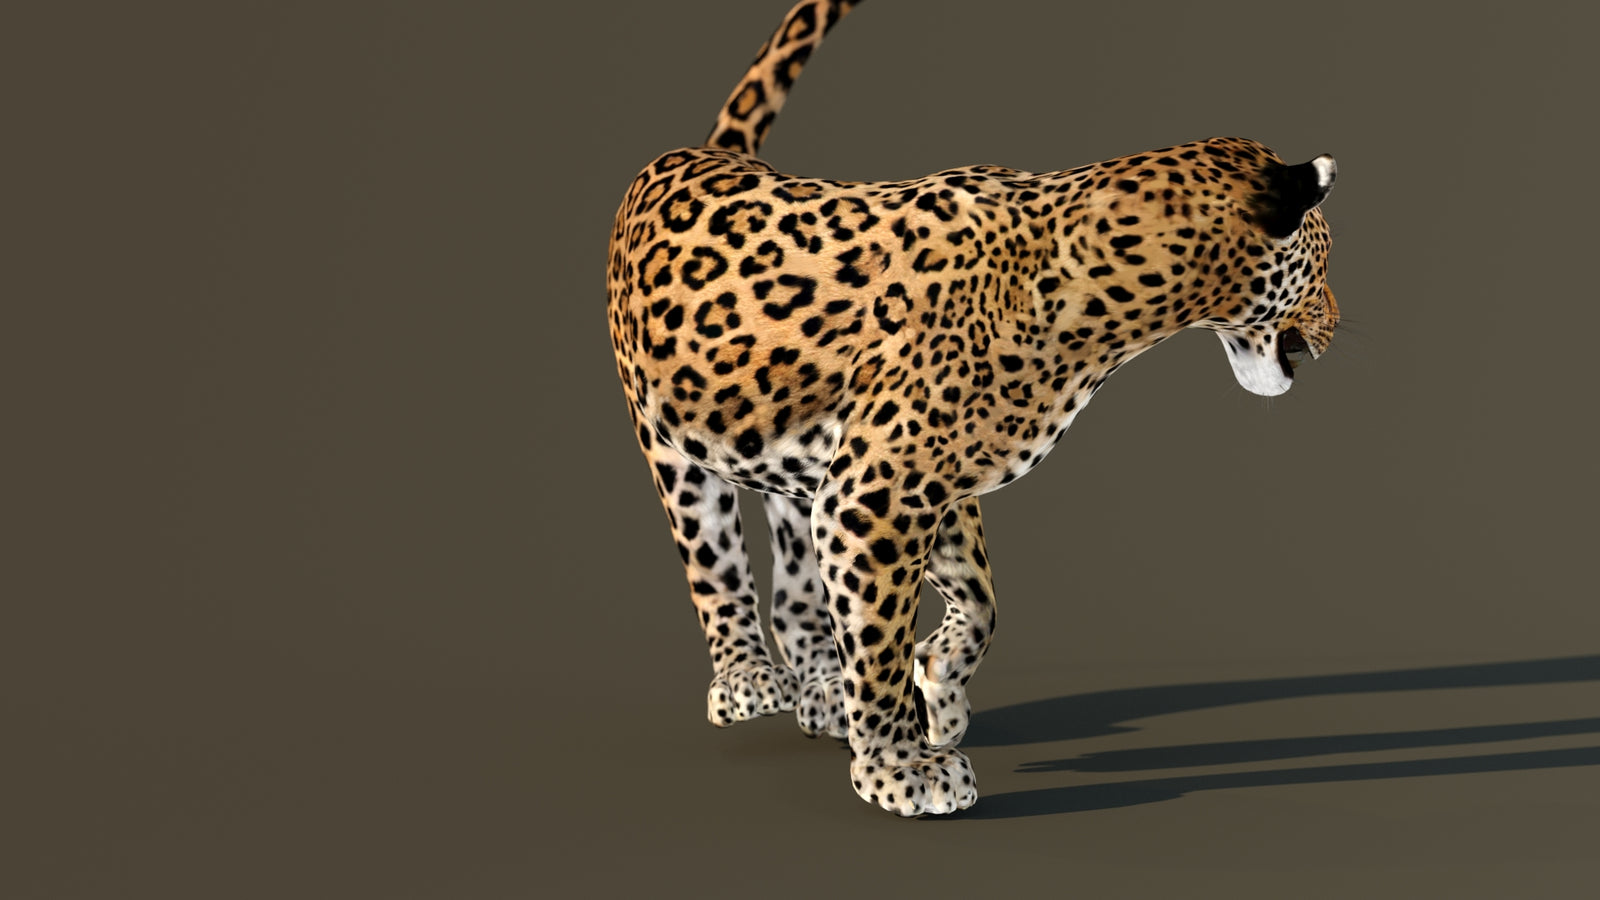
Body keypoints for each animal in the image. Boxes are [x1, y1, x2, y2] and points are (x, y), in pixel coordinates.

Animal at [606, 0, 1339, 817]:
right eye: (1324, 262)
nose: (1339, 328)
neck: (1110, 308)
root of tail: (691, 156)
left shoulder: (928, 488)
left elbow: (981, 601)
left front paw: (938, 684)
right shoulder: (876, 495)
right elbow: (880, 634)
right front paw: (901, 767)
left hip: (789, 465)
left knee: (796, 573)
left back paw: (820, 687)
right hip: (670, 443)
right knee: (714, 558)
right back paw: (748, 680)